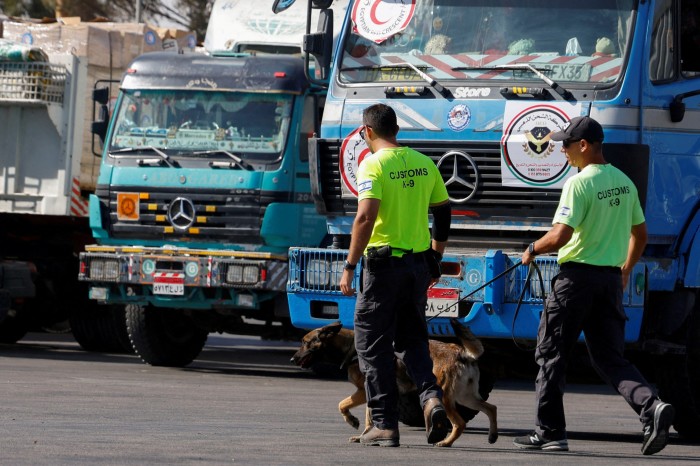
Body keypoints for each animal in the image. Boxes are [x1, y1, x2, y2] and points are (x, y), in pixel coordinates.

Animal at [290, 318, 498, 446]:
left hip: (447, 398)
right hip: (465, 397)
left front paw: (352, 420)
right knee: (491, 408)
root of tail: (461, 352)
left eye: (305, 342)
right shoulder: (371, 393)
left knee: (460, 423)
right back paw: (492, 435)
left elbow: (342, 404)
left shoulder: (362, 391)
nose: (292, 359)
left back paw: (446, 442)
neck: (350, 348)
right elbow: (369, 417)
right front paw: (364, 435)